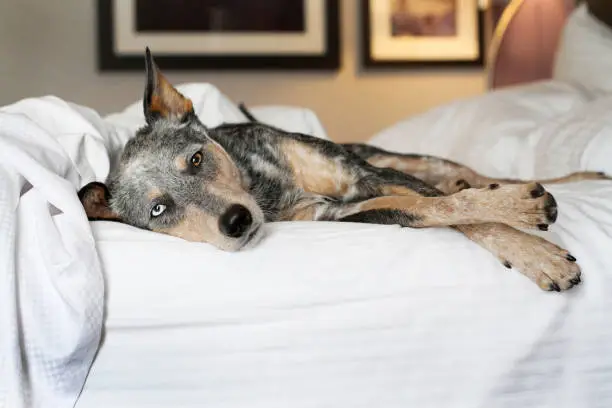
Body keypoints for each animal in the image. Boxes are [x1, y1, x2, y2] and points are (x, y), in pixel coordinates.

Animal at [77, 47, 608, 292]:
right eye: (158, 210)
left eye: (195, 158)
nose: (236, 222)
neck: (267, 190)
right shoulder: (342, 213)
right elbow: (440, 211)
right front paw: (531, 248)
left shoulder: (360, 176)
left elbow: (458, 205)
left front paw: (525, 229)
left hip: (404, 158)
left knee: (472, 174)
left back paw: (576, 178)